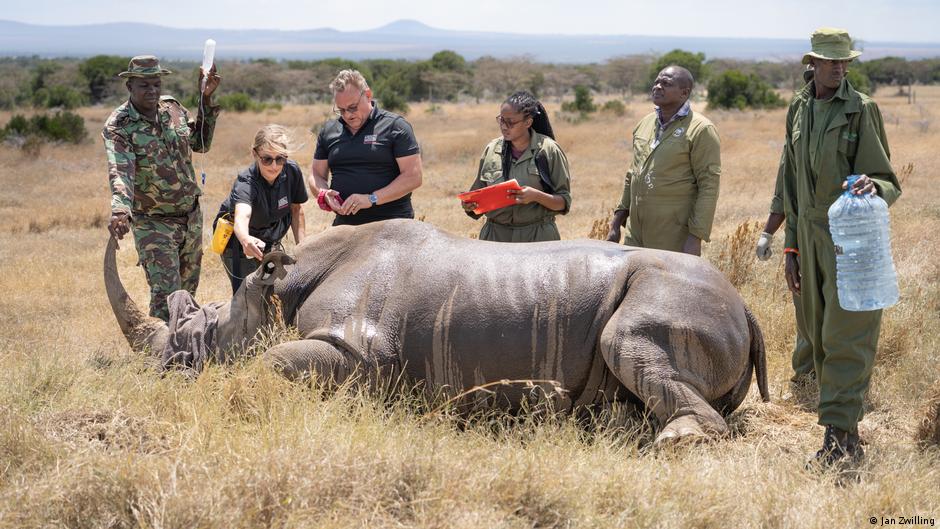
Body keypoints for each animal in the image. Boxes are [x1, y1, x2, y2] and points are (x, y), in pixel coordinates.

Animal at [105, 219, 768, 444]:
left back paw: (673, 441)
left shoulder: (360, 352)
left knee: (628, 340)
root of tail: (745, 308)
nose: (159, 376)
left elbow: (270, 363)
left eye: (200, 340)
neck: (277, 289)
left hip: (679, 298)